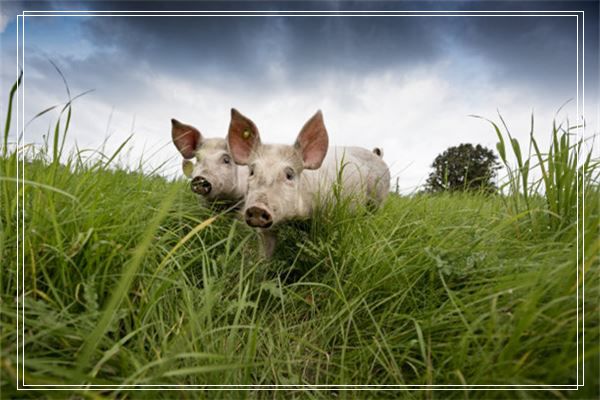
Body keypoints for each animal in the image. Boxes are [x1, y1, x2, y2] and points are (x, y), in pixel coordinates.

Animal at [227, 107, 392, 256]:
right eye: (252, 171)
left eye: (289, 175)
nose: (257, 208)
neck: (295, 220)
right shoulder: (266, 230)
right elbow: (266, 252)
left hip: (379, 201)